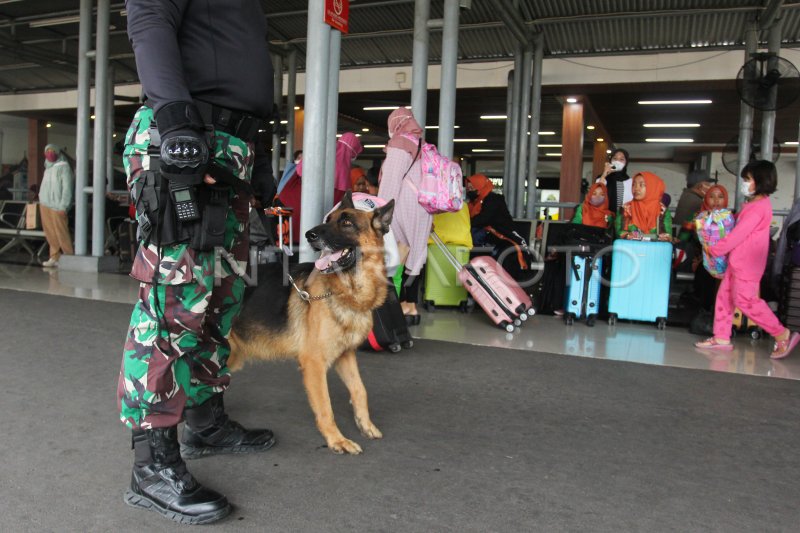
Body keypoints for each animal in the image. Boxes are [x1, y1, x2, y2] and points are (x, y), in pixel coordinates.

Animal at [228, 191, 394, 454]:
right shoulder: (314, 364)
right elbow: (325, 406)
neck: (346, 292)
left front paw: (365, 424)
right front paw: (337, 440)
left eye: (347, 223)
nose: (309, 235)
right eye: (328, 219)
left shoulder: (345, 356)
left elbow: (360, 390)